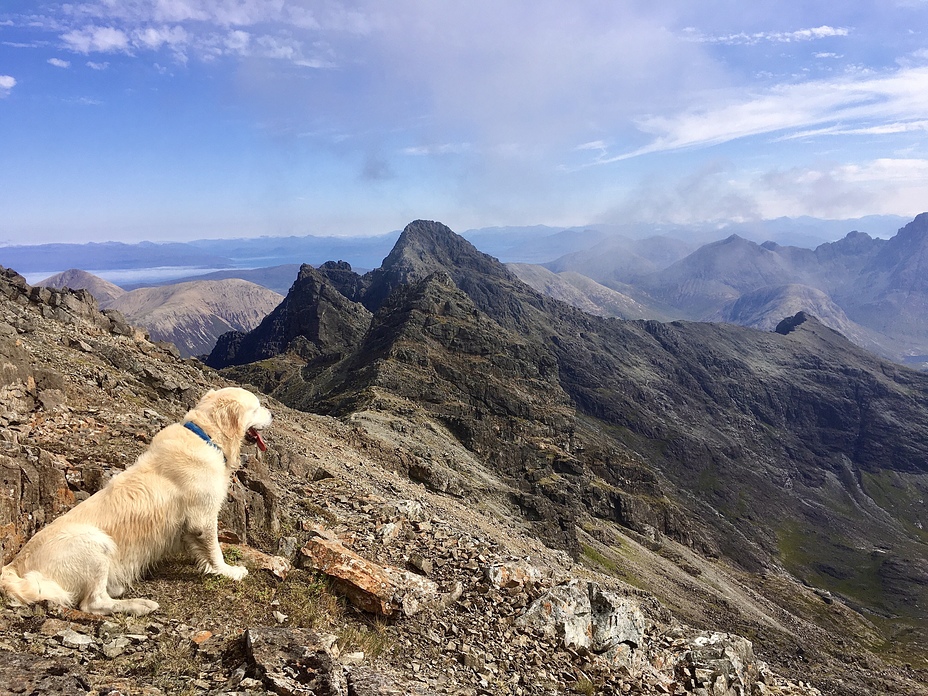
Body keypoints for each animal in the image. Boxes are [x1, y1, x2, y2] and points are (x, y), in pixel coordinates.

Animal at [0, 386, 274, 616]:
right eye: (257, 407)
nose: (272, 414)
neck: (206, 436)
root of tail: (13, 566)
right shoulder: (203, 517)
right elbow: (215, 550)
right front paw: (229, 571)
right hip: (95, 543)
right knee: (92, 603)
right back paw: (140, 605)